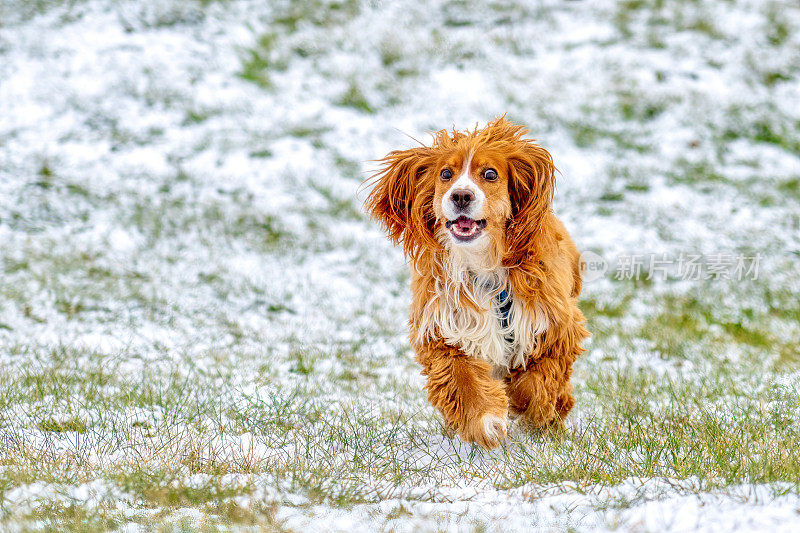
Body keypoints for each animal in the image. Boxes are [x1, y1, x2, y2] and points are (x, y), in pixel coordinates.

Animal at [366, 117, 592, 448]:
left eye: (490, 174)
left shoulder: (554, 326)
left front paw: (528, 407)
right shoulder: (444, 330)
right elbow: (463, 381)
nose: (461, 196)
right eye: (446, 174)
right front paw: (486, 421)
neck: (483, 265)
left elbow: (536, 383)